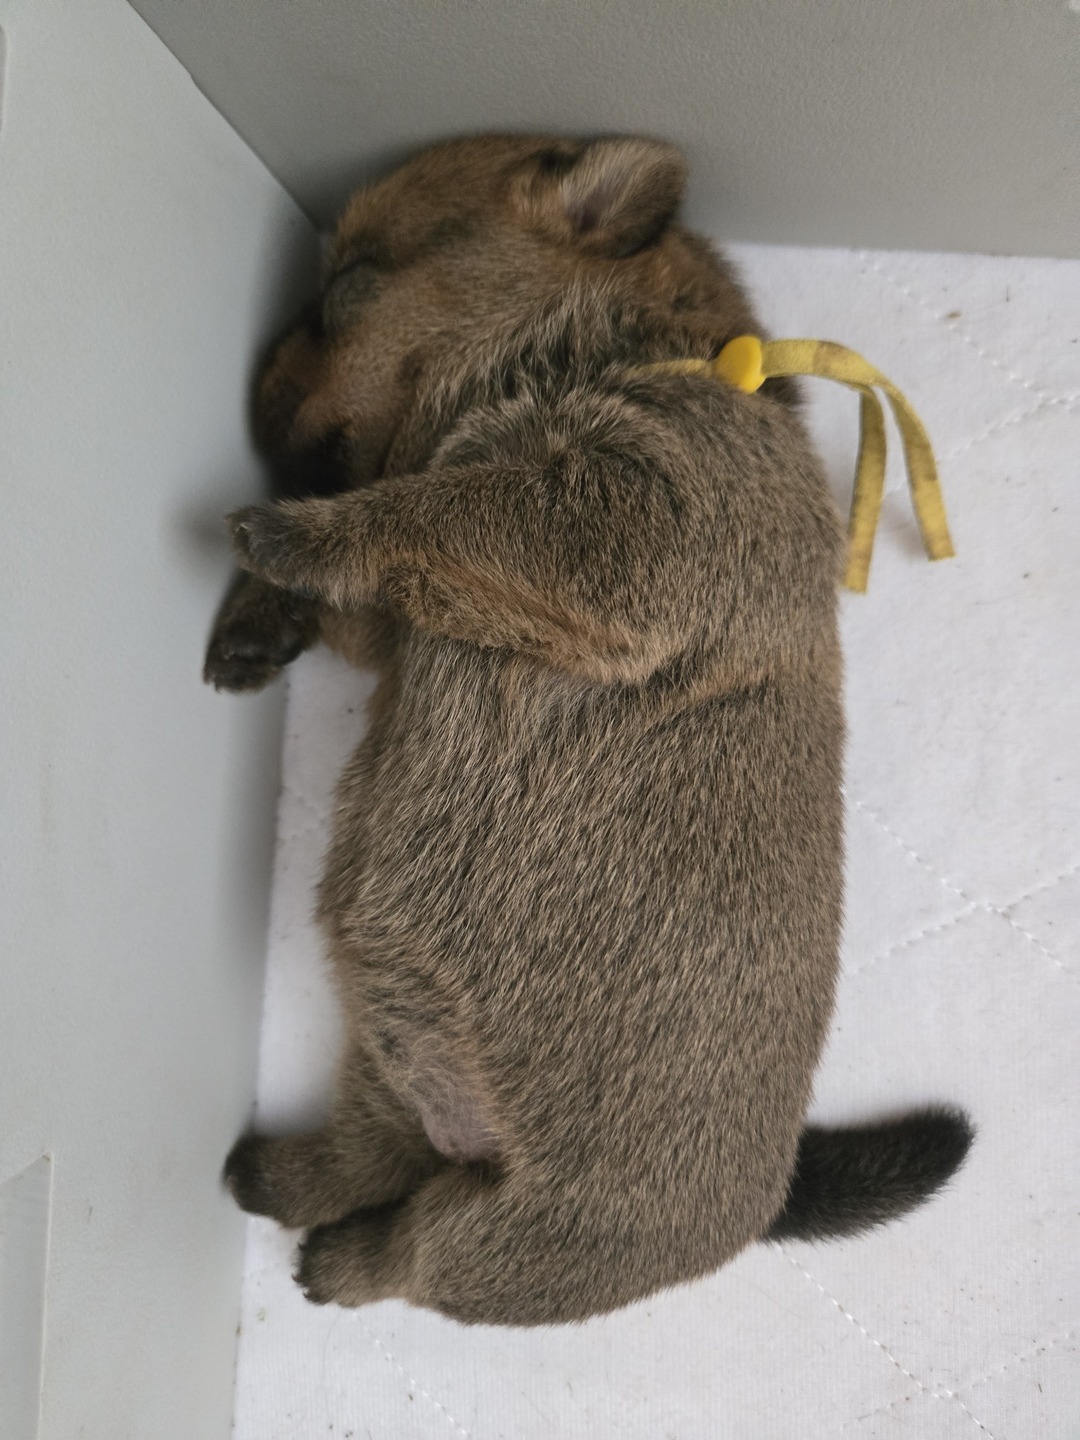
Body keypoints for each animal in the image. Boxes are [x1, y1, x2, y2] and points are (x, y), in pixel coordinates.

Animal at [207, 135, 972, 1326]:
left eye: (344, 289)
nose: (250, 398)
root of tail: (763, 1212)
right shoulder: (429, 614)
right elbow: (386, 578)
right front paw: (260, 613)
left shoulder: (635, 517)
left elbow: (429, 513)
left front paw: (287, 533)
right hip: (388, 1058)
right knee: (371, 1156)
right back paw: (273, 1174)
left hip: (526, 1228)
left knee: (416, 1253)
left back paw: (336, 1260)